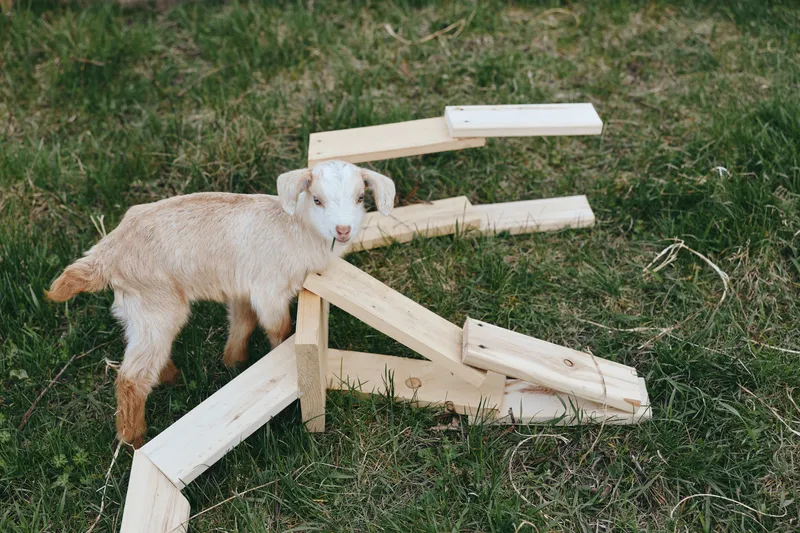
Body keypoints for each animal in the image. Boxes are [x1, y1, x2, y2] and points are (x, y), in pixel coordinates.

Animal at [46, 160, 395, 447]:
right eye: (318, 200)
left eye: (360, 198)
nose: (343, 230)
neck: (296, 230)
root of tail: (105, 255)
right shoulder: (269, 289)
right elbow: (279, 328)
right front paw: (276, 357)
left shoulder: (242, 287)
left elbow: (243, 322)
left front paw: (233, 361)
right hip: (158, 304)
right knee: (132, 377)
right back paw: (134, 439)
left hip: (137, 308)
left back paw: (171, 378)